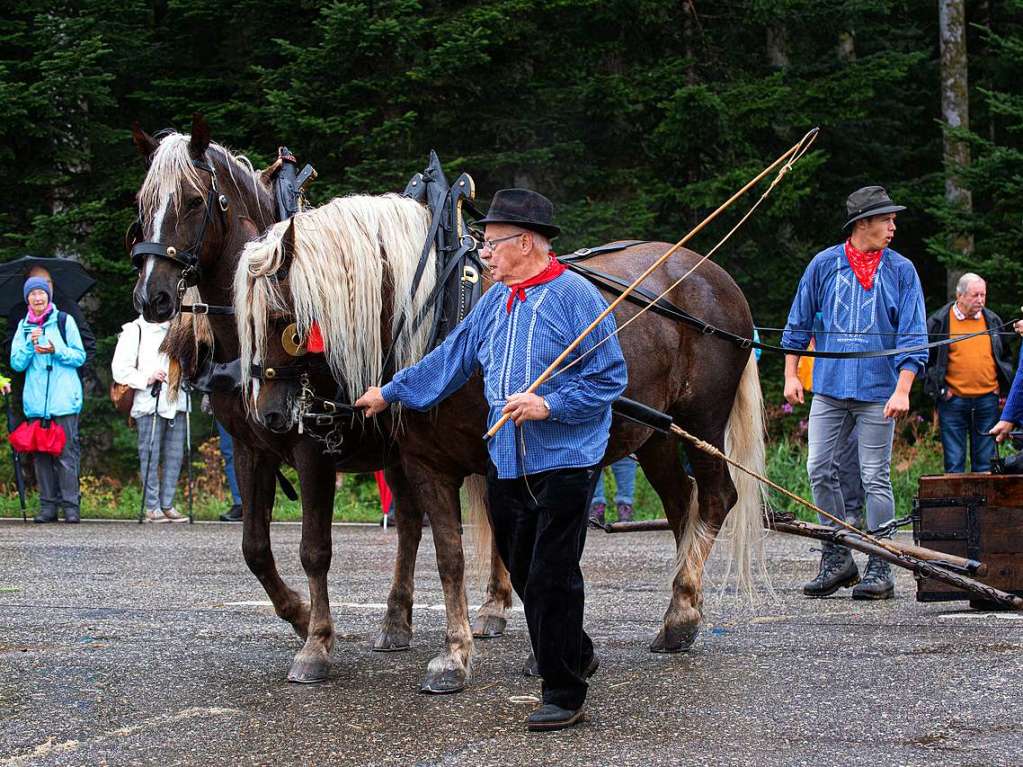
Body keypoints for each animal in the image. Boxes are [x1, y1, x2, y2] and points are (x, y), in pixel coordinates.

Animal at [239, 192, 765, 691]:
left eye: (284, 320)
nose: (268, 414)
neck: (444, 310)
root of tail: (716, 276)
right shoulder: (427, 463)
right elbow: (450, 556)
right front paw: (454, 655)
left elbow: (529, 554)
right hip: (654, 436)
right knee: (681, 505)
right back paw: (682, 610)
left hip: (701, 421)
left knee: (716, 498)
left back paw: (682, 613)